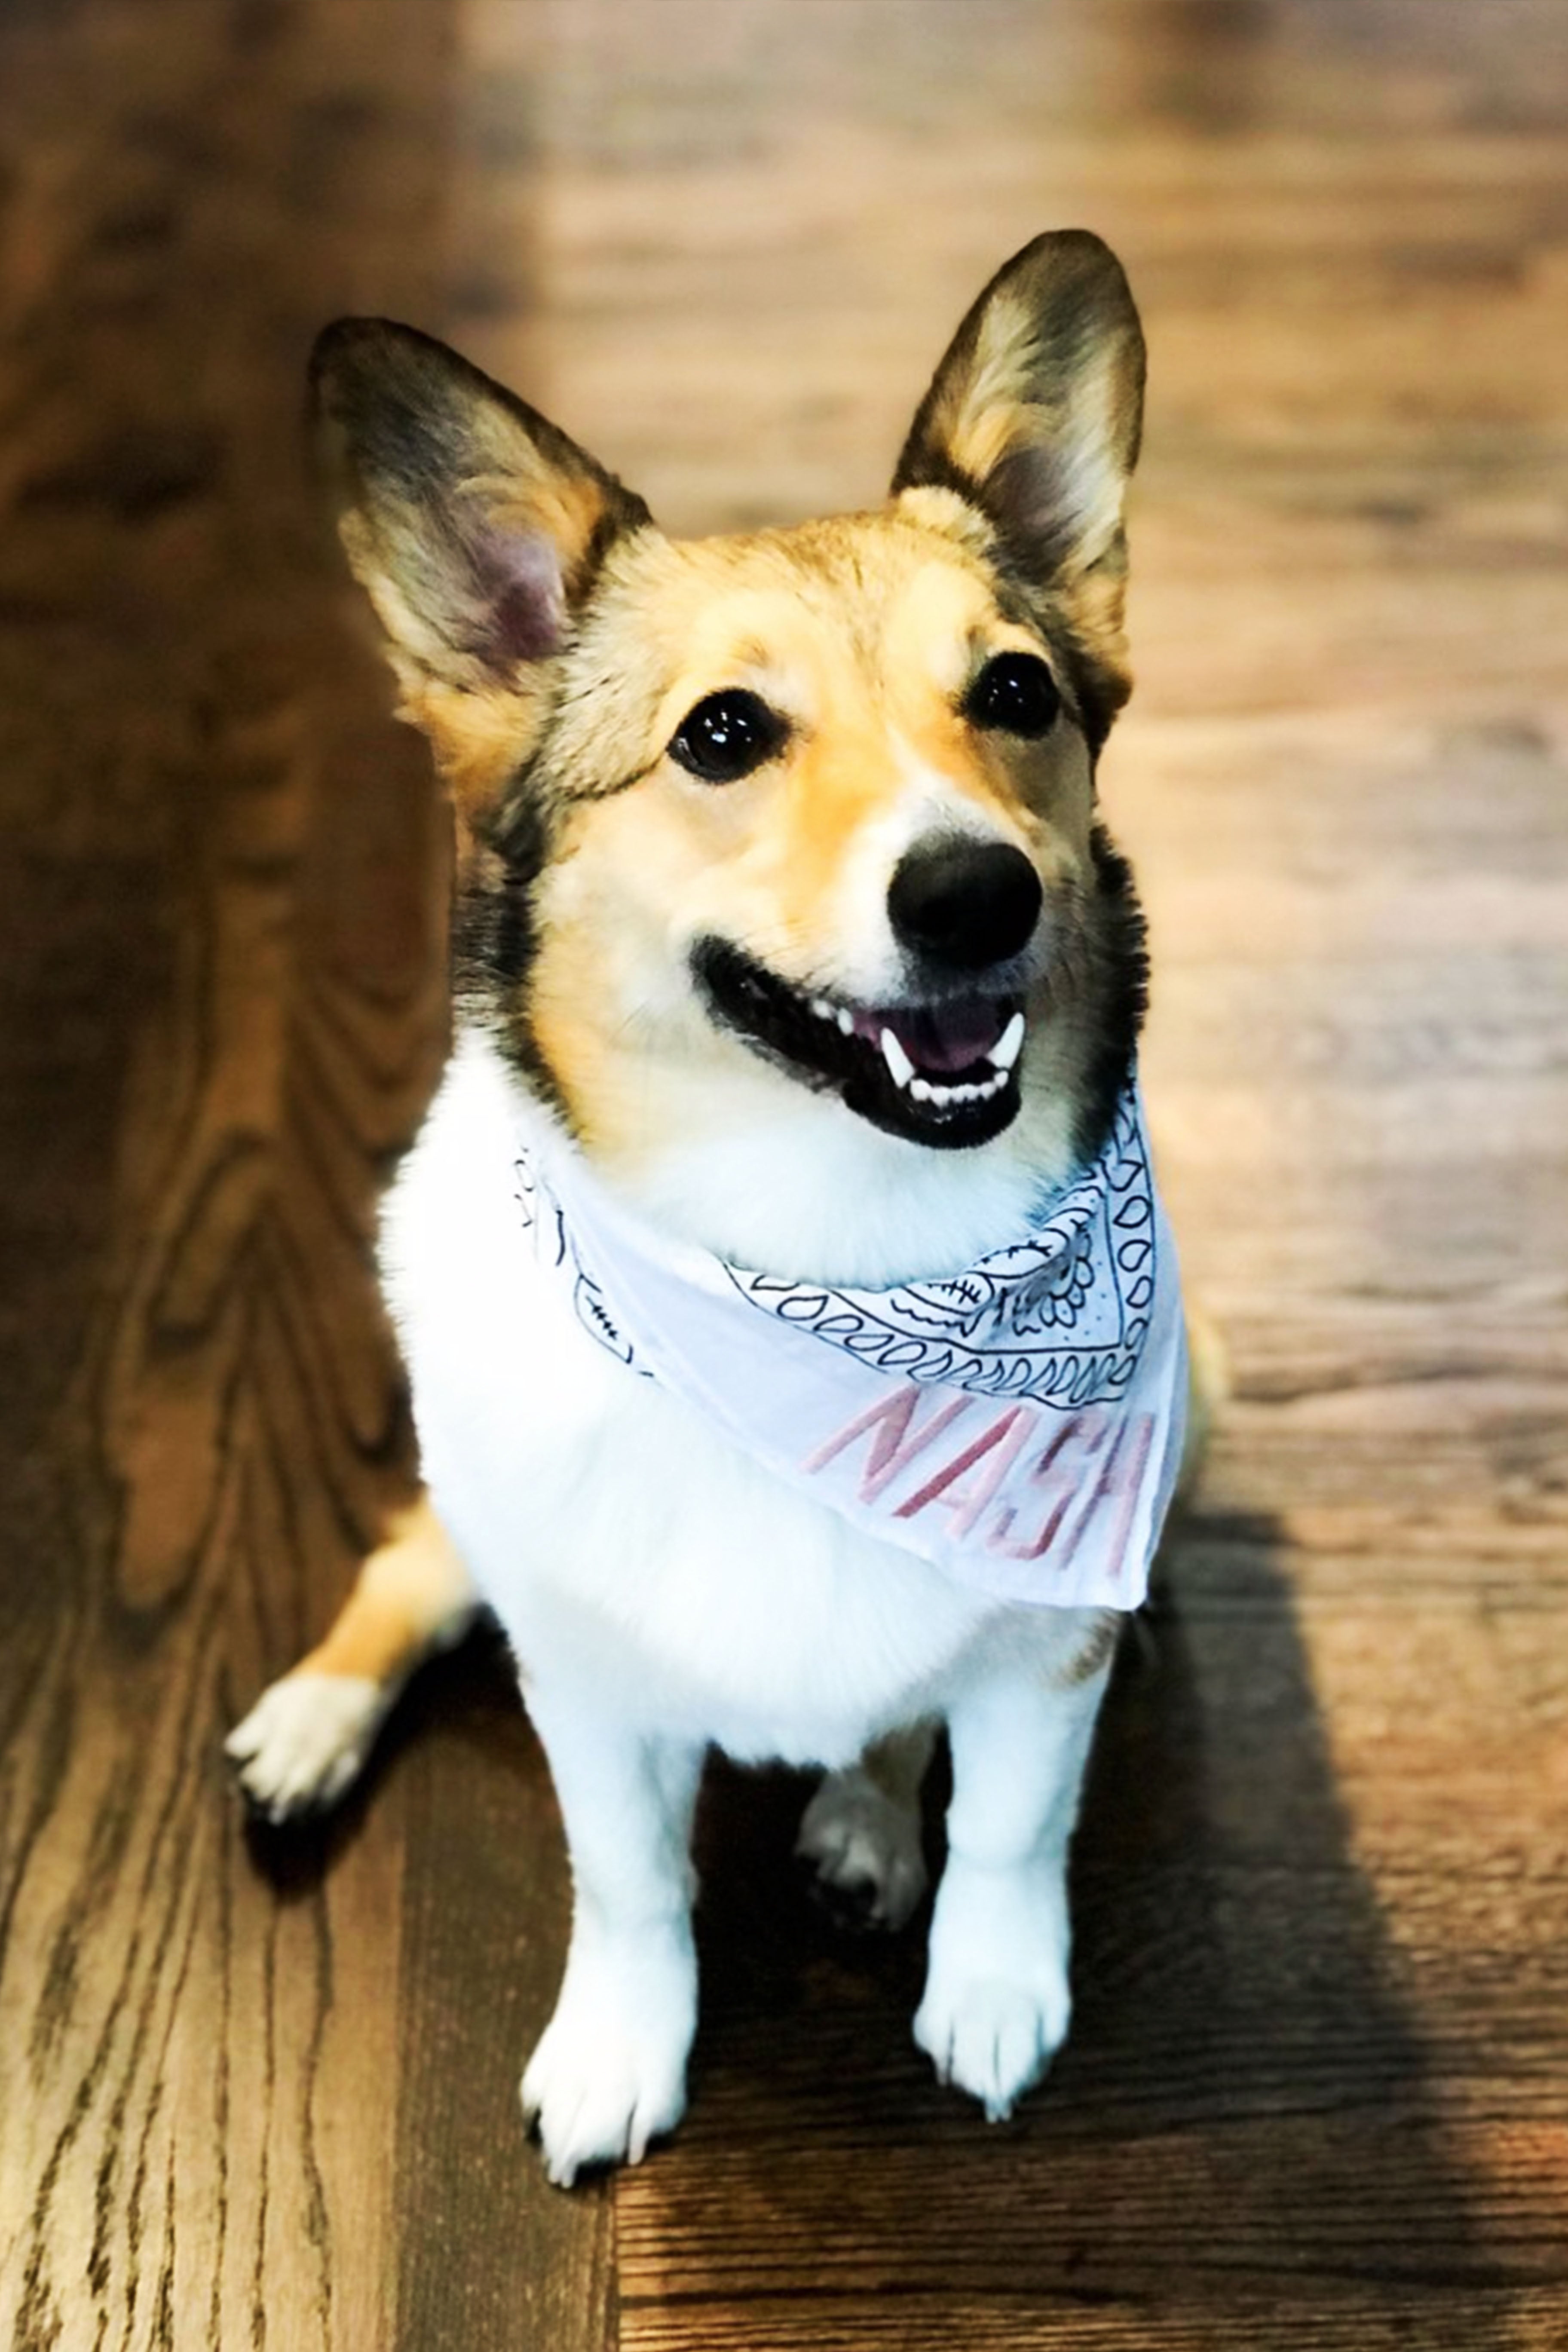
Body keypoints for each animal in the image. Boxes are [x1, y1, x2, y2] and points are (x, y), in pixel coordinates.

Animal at [227, 234, 1213, 2183]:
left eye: (1017, 697)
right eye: (725, 733)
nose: (975, 894)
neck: (830, 1268)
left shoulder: (1050, 1653)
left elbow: (1008, 1828)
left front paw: (989, 1988)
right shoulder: (587, 1684)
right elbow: (626, 1881)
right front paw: (622, 2045)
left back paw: (862, 1818)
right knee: (410, 1557)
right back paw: (312, 1716)